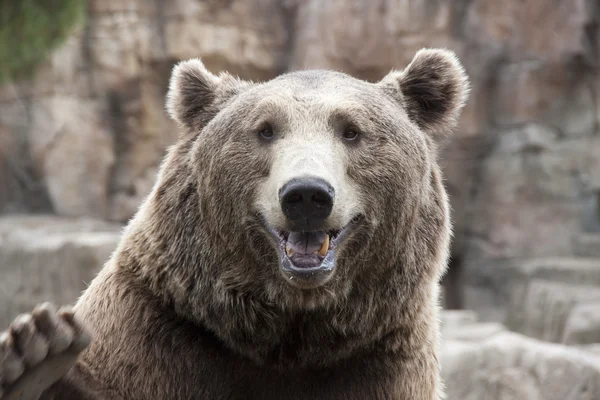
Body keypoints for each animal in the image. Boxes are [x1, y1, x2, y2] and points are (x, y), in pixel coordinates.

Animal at [0, 47, 468, 400]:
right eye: (265, 130)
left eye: (351, 131)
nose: (307, 195)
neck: (290, 332)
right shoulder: (157, 326)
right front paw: (36, 356)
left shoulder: (376, 360)